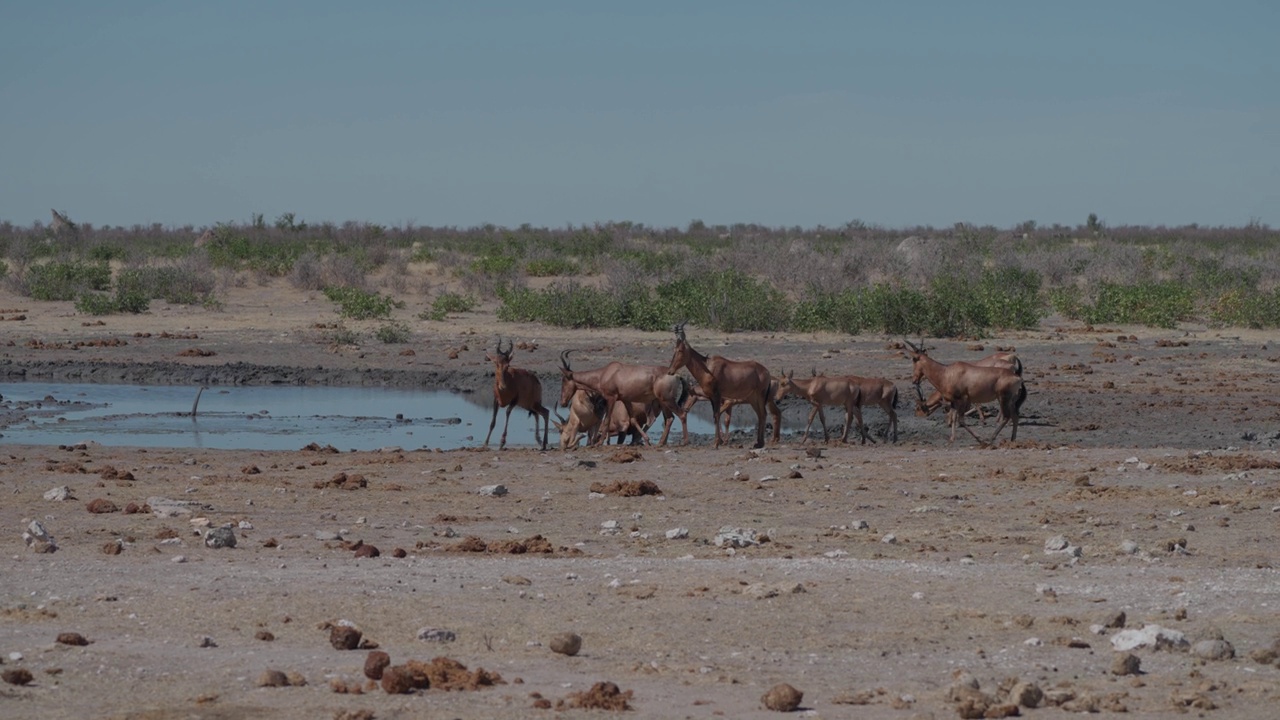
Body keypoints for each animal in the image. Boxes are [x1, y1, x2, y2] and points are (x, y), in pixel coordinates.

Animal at [555, 348, 686, 443]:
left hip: (667, 400)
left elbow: (606, 420)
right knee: (669, 418)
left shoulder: (611, 398)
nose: (563, 402)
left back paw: (684, 442)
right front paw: (646, 440)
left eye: (564, 380)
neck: (606, 373)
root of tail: (676, 375)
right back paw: (661, 443)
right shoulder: (625, 400)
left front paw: (599, 443)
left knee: (681, 414)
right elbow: (633, 419)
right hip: (662, 402)